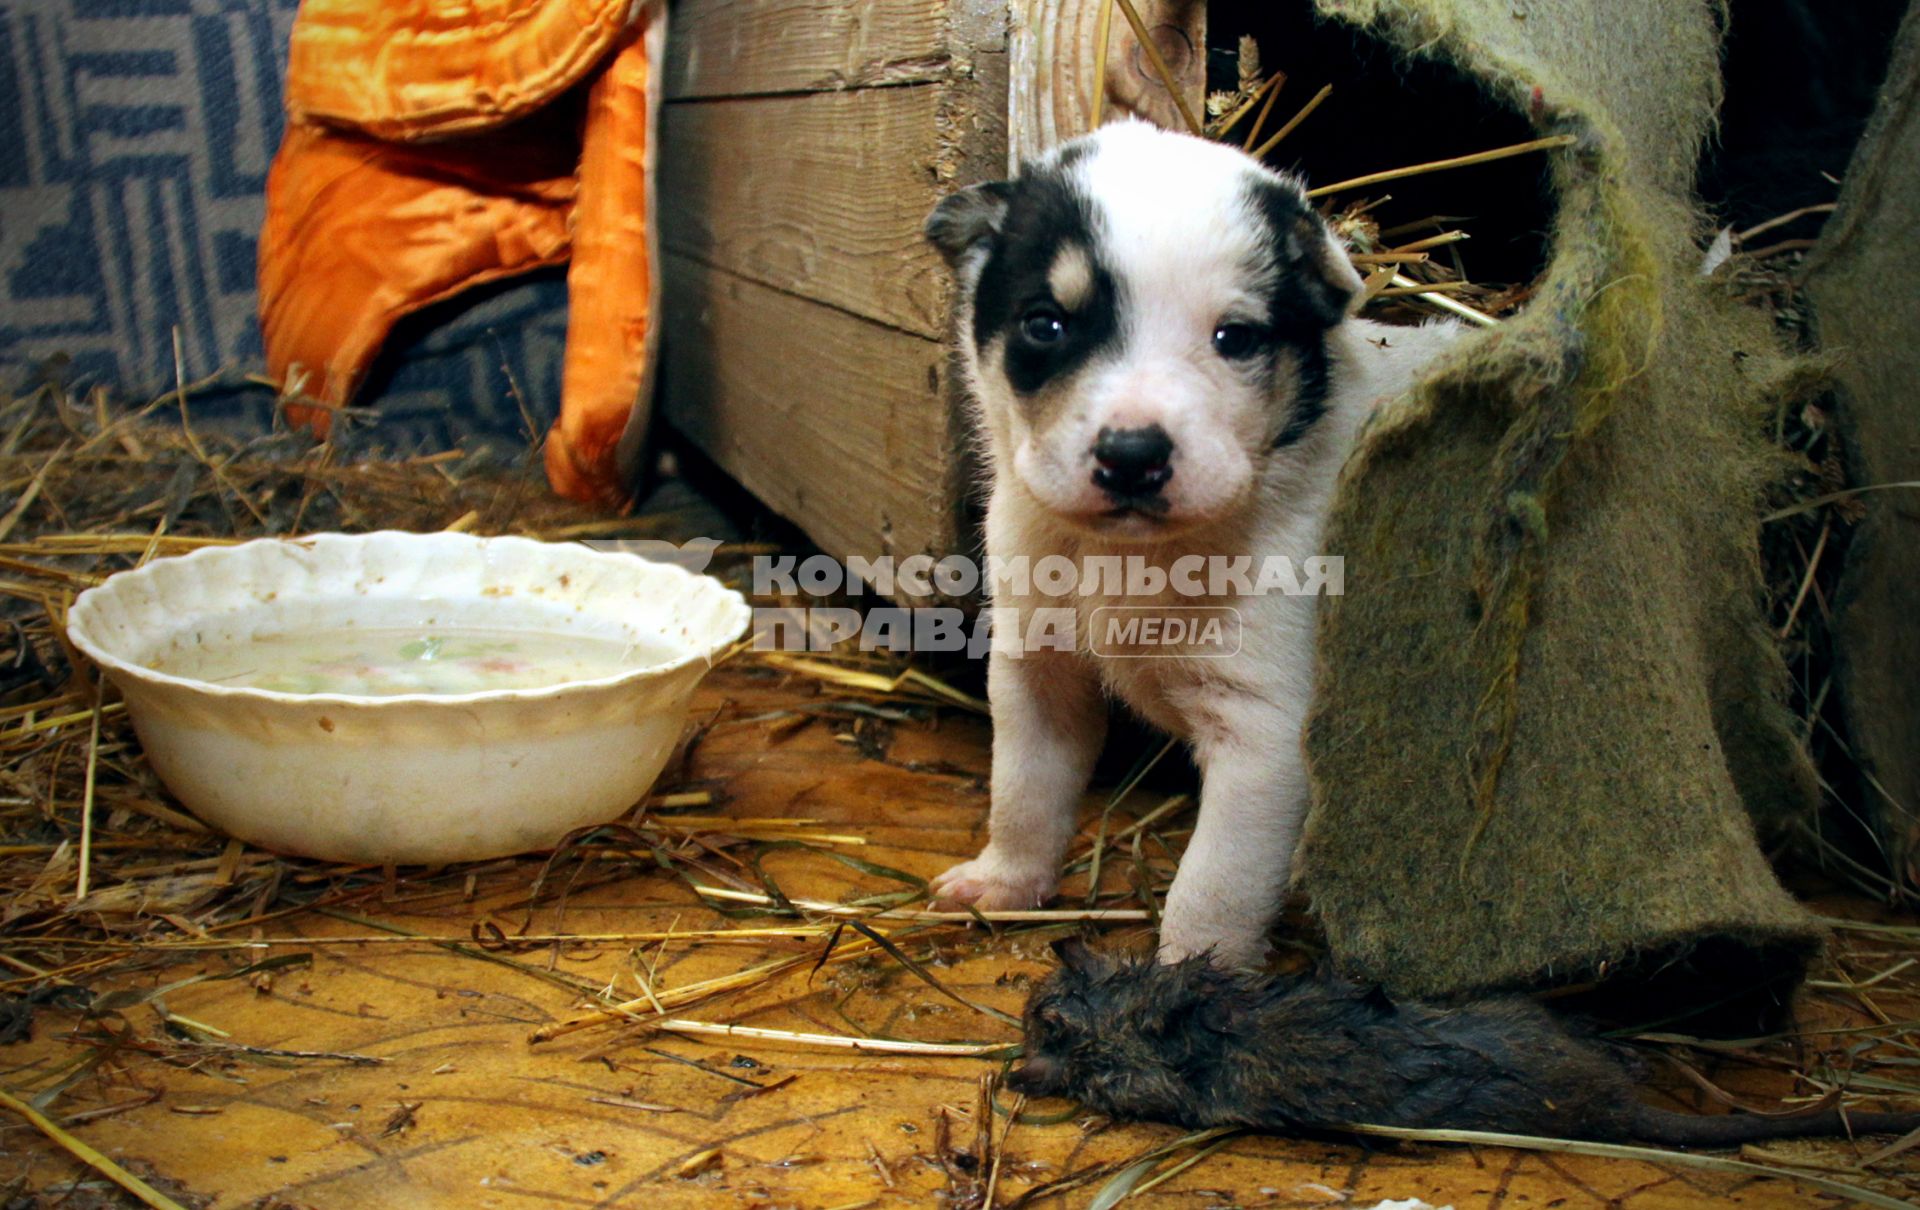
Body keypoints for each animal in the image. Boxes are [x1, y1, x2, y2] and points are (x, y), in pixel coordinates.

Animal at [921, 122, 1459, 971]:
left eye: (1235, 337)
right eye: (1046, 324)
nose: (1133, 456)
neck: (1125, 560)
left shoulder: (1263, 737)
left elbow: (1212, 891)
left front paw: (1185, 985)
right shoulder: (1037, 671)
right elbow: (1022, 793)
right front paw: (1003, 882)